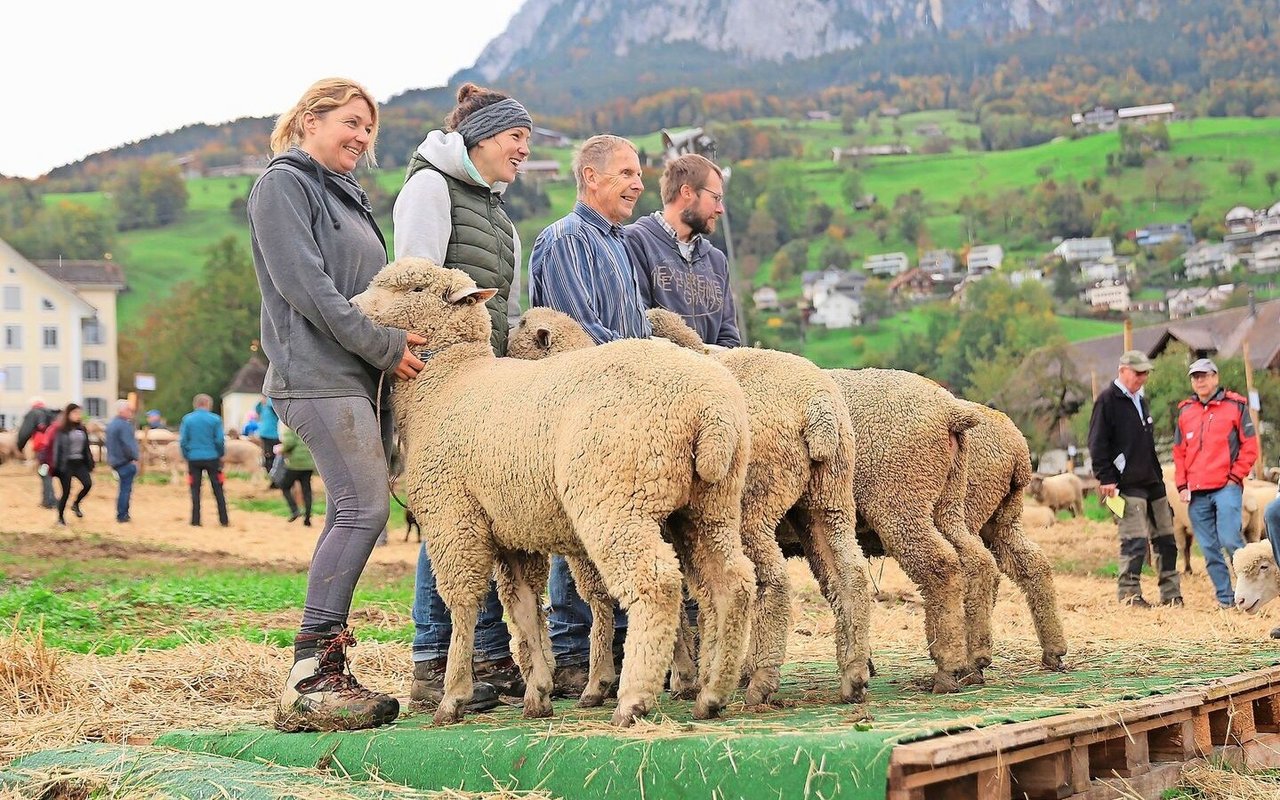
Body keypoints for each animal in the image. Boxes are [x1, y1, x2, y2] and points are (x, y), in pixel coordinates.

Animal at [348, 258, 757, 727]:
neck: (446, 382)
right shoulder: (511, 528)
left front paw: (453, 695)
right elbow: (524, 606)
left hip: (617, 501)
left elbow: (464, 605)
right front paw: (538, 690)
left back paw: (634, 699)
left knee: (657, 584)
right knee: (733, 582)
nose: (353, 305)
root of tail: (710, 410)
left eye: (414, 289)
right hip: (708, 504)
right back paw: (713, 692)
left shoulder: (453, 518)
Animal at [509, 305, 880, 706]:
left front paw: (603, 683)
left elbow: (602, 599)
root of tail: (818, 408)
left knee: (773, 580)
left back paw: (760, 680)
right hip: (826, 499)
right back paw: (853, 674)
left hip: (755, 502)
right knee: (849, 574)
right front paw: (684, 673)